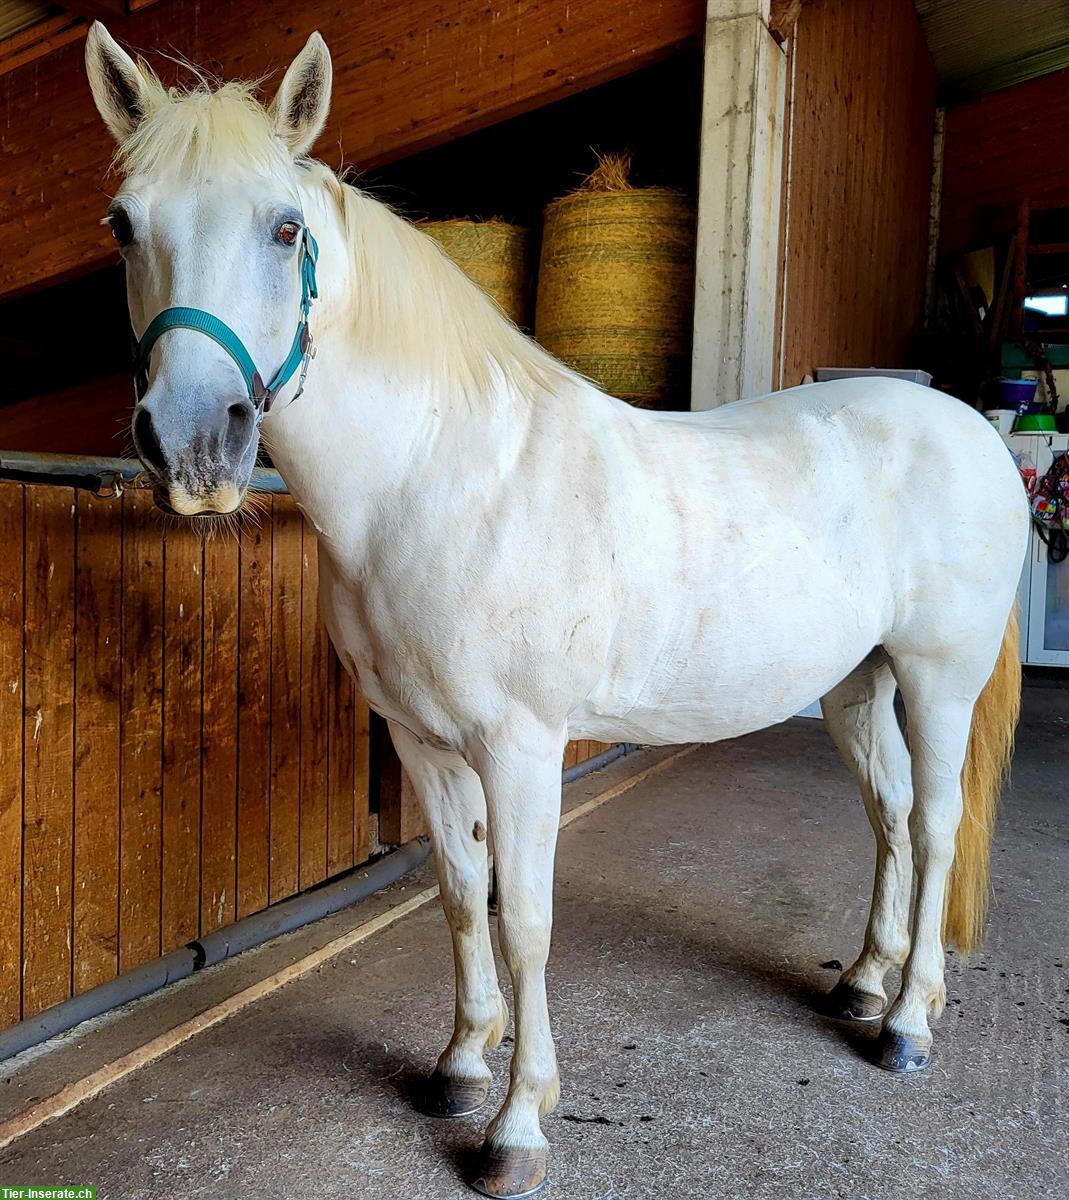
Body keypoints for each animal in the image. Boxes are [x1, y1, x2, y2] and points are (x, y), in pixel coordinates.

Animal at [89, 23, 1027, 1195]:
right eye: (125, 226)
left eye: (284, 226)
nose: (193, 448)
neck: (439, 479)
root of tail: (970, 430)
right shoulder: (422, 741)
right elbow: (458, 893)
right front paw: (458, 1064)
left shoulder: (522, 747)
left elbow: (525, 919)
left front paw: (516, 1127)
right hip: (855, 685)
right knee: (892, 815)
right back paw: (863, 981)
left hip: (938, 679)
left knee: (939, 825)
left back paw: (906, 1024)